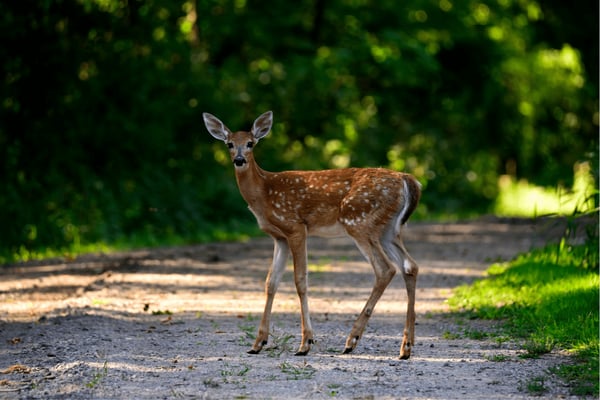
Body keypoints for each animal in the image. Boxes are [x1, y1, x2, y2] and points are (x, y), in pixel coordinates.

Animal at [204, 110, 420, 360]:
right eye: (229, 143)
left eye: (250, 143)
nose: (239, 160)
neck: (264, 193)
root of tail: (408, 180)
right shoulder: (279, 237)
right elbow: (271, 282)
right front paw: (258, 343)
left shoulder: (296, 227)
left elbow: (300, 281)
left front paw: (305, 343)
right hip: (389, 229)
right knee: (410, 266)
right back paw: (405, 347)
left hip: (359, 222)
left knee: (386, 269)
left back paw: (352, 340)